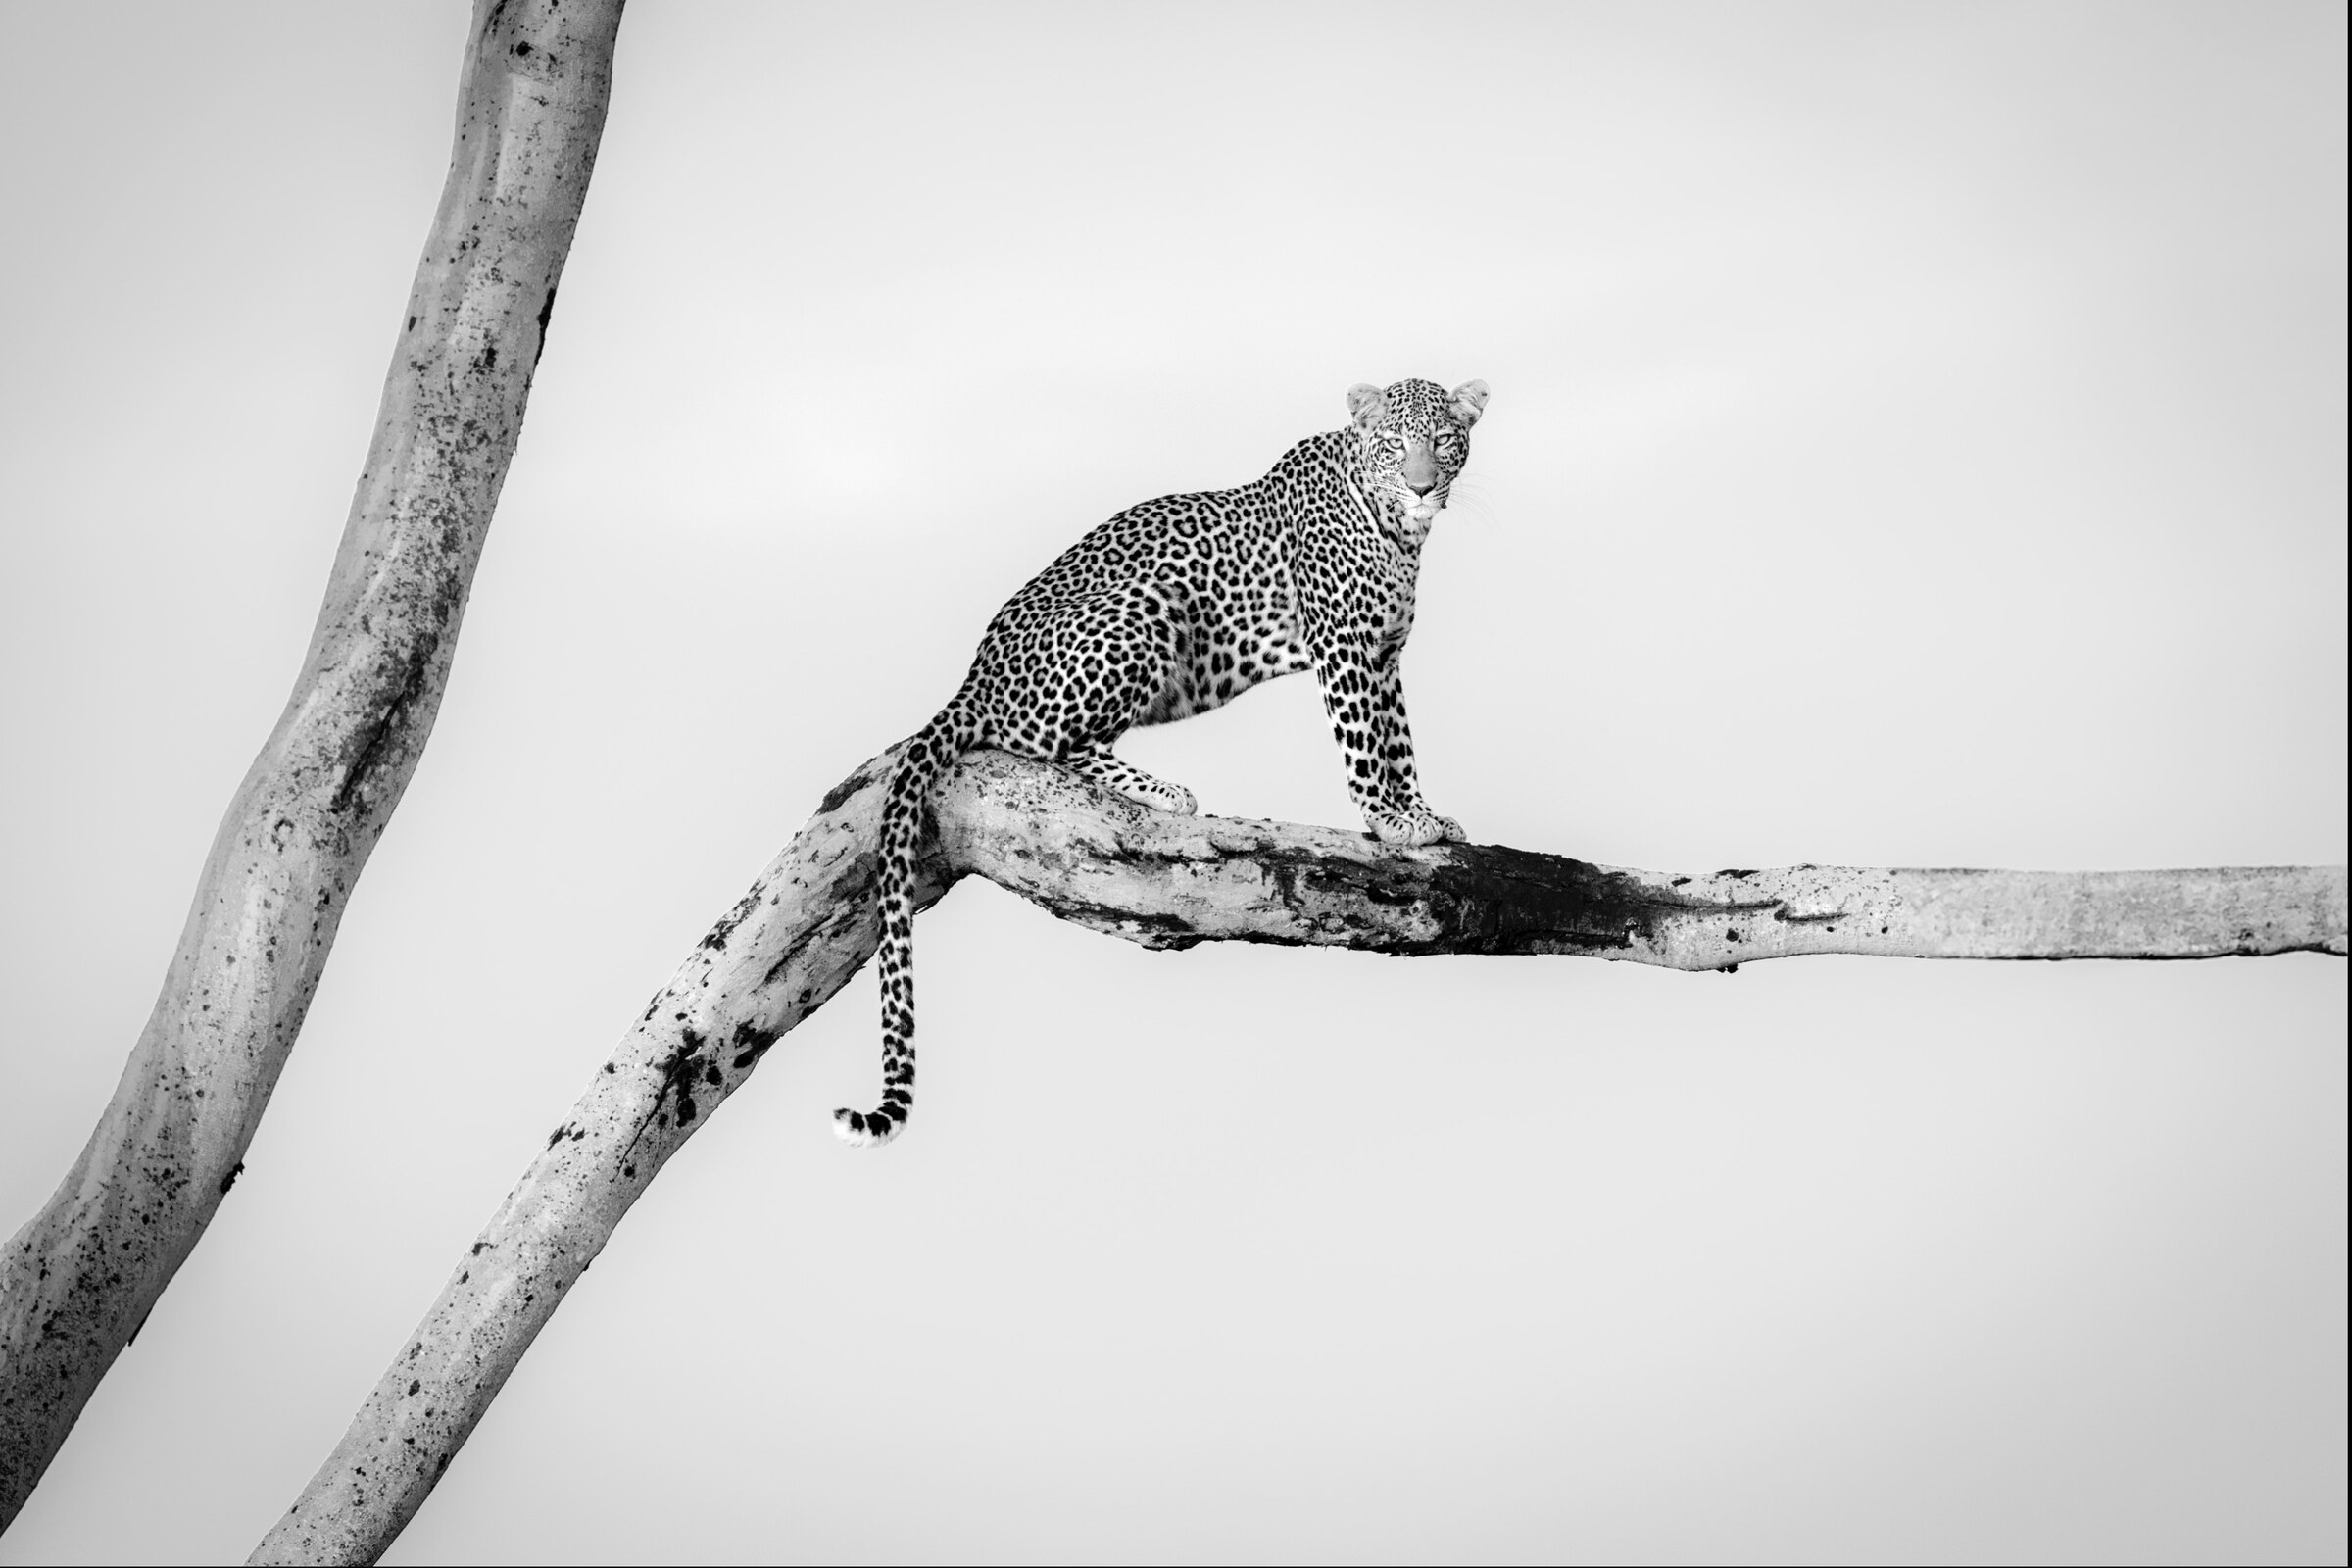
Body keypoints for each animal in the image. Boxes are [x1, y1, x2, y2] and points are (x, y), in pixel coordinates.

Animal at [837, 376, 1491, 1146]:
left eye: (1443, 442)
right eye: (1393, 445)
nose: (1420, 487)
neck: (1396, 531)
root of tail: (974, 676)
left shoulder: (1386, 658)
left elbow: (1400, 743)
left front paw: (1421, 813)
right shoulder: (1344, 648)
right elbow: (1365, 746)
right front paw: (1389, 822)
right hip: (1141, 608)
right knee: (1038, 743)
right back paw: (1161, 790)